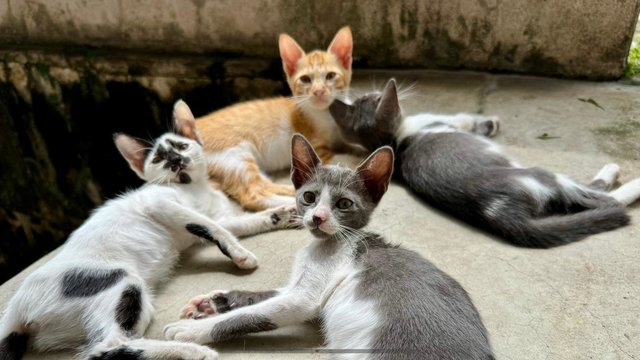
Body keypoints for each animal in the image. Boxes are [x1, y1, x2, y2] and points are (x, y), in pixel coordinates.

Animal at [0, 99, 298, 360]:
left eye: (181, 146)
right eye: (158, 159)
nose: (175, 160)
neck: (195, 190)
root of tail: (14, 310)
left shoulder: (213, 217)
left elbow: (237, 223)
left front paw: (282, 215)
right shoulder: (160, 203)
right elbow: (212, 226)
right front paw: (240, 254)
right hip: (120, 281)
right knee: (106, 347)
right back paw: (189, 350)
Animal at [165, 134, 496, 360]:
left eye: (344, 204)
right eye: (309, 197)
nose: (318, 217)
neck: (324, 247)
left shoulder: (304, 298)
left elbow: (252, 315)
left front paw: (189, 332)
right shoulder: (298, 286)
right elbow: (263, 295)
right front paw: (211, 302)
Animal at [196, 27, 352, 211]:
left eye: (330, 76)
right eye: (305, 79)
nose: (318, 91)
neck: (327, 114)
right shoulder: (318, 148)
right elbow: (345, 159)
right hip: (234, 156)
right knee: (253, 193)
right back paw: (291, 206)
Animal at [330, 79, 640, 248]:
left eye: (366, 98)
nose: (371, 92)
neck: (396, 140)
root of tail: (498, 210)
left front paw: (489, 124)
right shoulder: (439, 120)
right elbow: (463, 119)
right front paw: (488, 123)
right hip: (542, 175)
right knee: (604, 198)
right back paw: (619, 176)